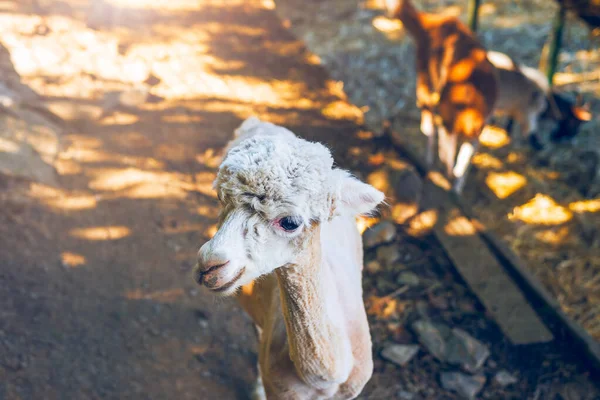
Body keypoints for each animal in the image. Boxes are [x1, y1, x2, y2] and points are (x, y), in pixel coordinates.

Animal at [384, 0, 496, 194]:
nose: (389, 14)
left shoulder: (423, 75)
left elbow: (427, 124)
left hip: (444, 108)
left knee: (444, 151)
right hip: (475, 123)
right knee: (462, 156)